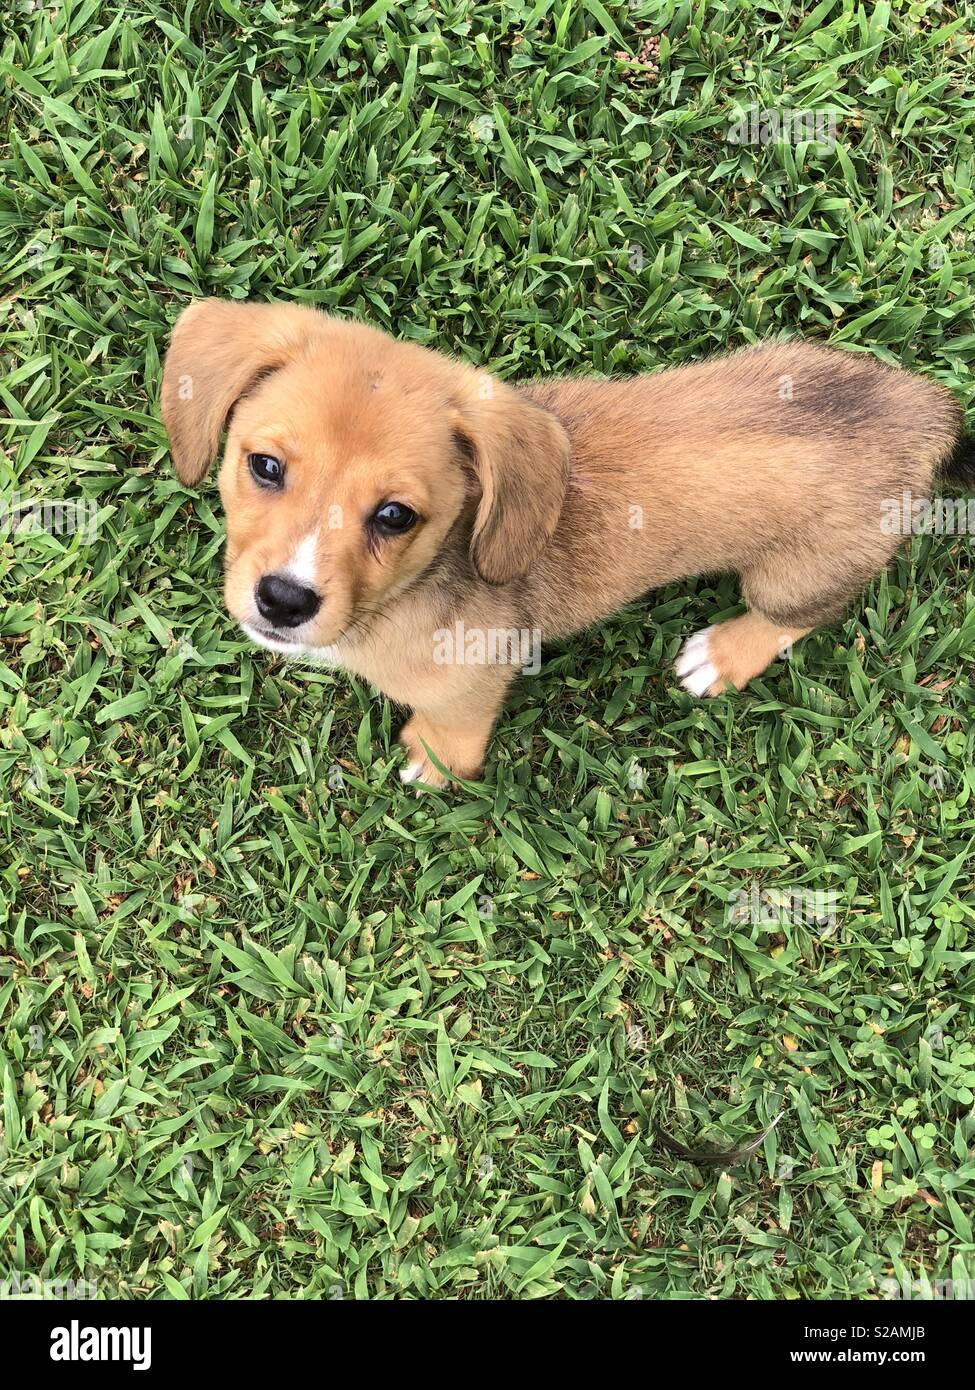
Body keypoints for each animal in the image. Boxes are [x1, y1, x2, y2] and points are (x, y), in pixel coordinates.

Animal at [161, 298, 968, 789]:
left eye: (394, 516)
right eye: (265, 466)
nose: (283, 600)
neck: (411, 590)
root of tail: (927, 411)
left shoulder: (472, 679)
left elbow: (454, 734)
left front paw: (434, 764)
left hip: (798, 573)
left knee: (795, 617)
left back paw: (722, 655)